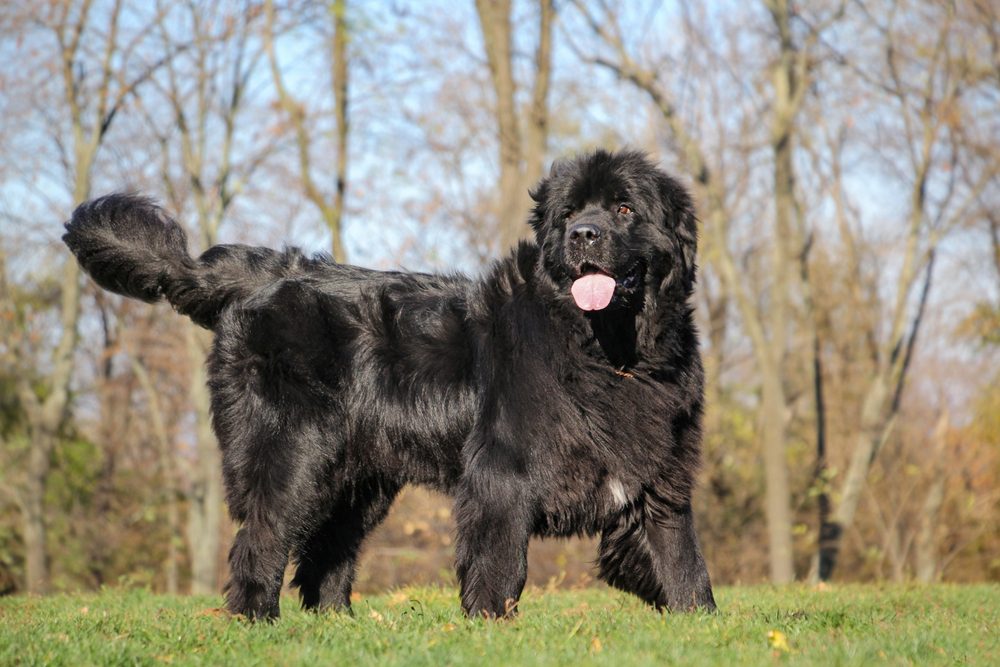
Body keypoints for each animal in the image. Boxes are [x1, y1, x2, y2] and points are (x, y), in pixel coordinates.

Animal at [62, 150, 716, 620]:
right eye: (569, 213)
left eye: (625, 210)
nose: (583, 234)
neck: (610, 352)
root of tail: (260, 276)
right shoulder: (501, 472)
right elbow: (500, 562)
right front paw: (491, 628)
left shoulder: (659, 473)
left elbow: (683, 559)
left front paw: (699, 623)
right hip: (292, 451)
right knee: (263, 536)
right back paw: (255, 622)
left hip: (359, 481)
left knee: (326, 555)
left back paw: (339, 627)